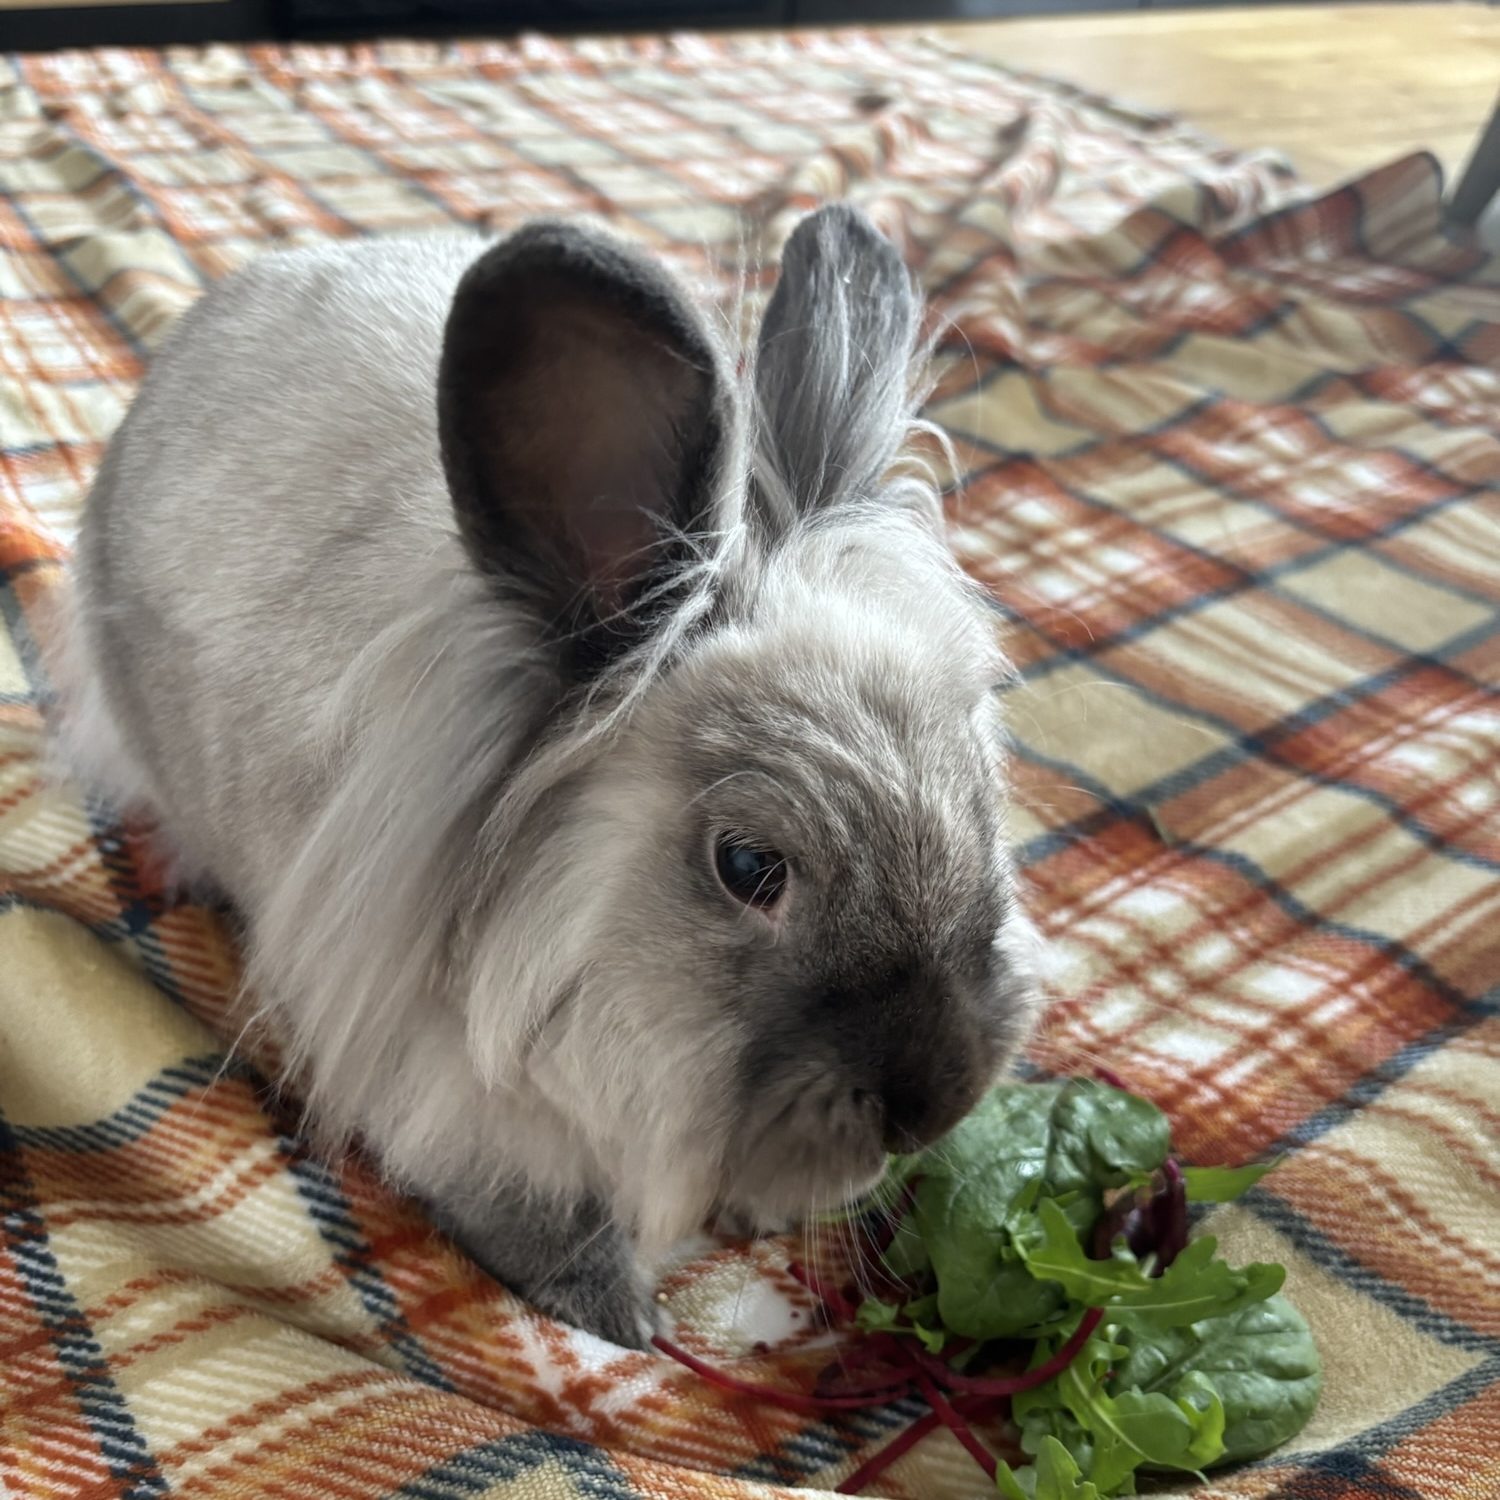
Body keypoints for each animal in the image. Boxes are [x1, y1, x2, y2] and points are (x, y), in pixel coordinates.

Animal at [56, 203, 1040, 1348]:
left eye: (979, 801)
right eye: (749, 866)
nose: (938, 1100)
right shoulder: (453, 1099)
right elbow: (539, 1216)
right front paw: (618, 1318)